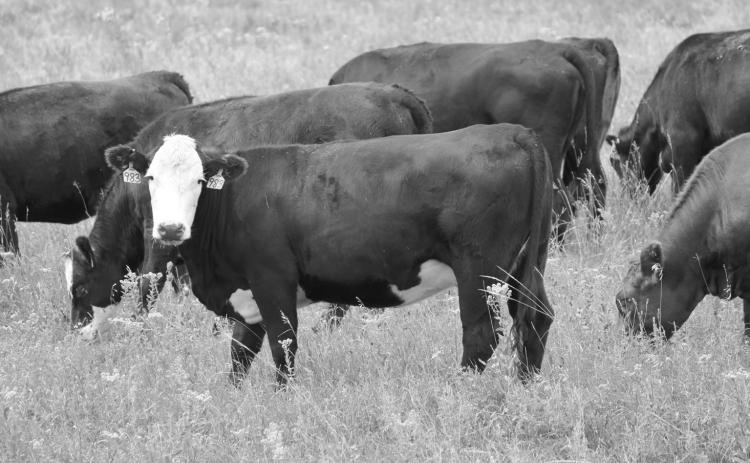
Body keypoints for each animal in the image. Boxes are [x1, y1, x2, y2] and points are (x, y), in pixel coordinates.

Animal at [64, 82, 433, 331]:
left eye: (79, 287)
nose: (77, 330)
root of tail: (398, 93)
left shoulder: (158, 227)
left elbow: (149, 281)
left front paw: (141, 327)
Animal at [104, 124, 554, 386]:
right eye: (150, 177)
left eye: (199, 180)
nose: (170, 229)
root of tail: (513, 132)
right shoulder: (248, 294)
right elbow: (240, 353)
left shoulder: (272, 280)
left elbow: (282, 344)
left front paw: (283, 398)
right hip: (525, 263)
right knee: (536, 318)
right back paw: (527, 387)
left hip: (480, 269)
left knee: (481, 333)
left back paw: (462, 392)